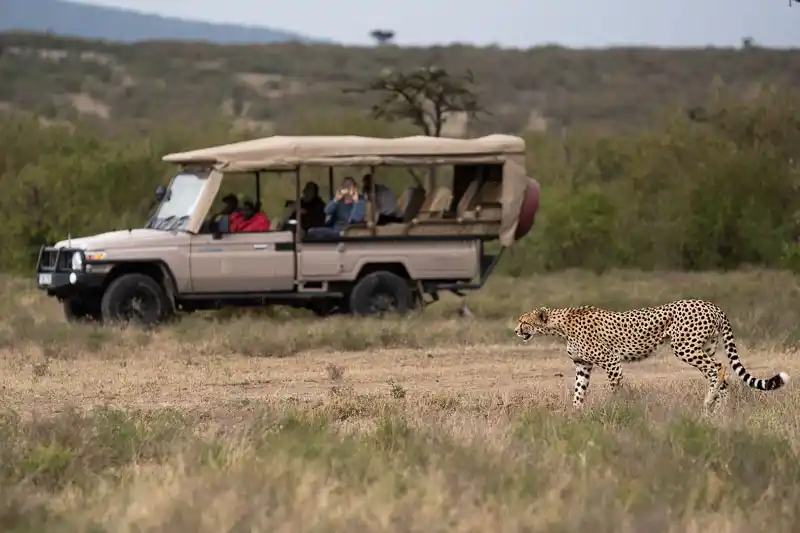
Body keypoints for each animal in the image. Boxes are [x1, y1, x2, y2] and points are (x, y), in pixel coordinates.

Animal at [514, 299, 789, 412]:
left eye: (523, 321)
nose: (515, 330)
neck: (560, 325)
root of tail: (711, 304)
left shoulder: (611, 362)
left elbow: (616, 388)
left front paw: (616, 408)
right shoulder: (583, 365)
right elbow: (578, 392)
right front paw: (575, 415)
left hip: (685, 346)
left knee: (719, 368)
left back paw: (709, 402)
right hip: (704, 346)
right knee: (720, 375)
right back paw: (718, 410)